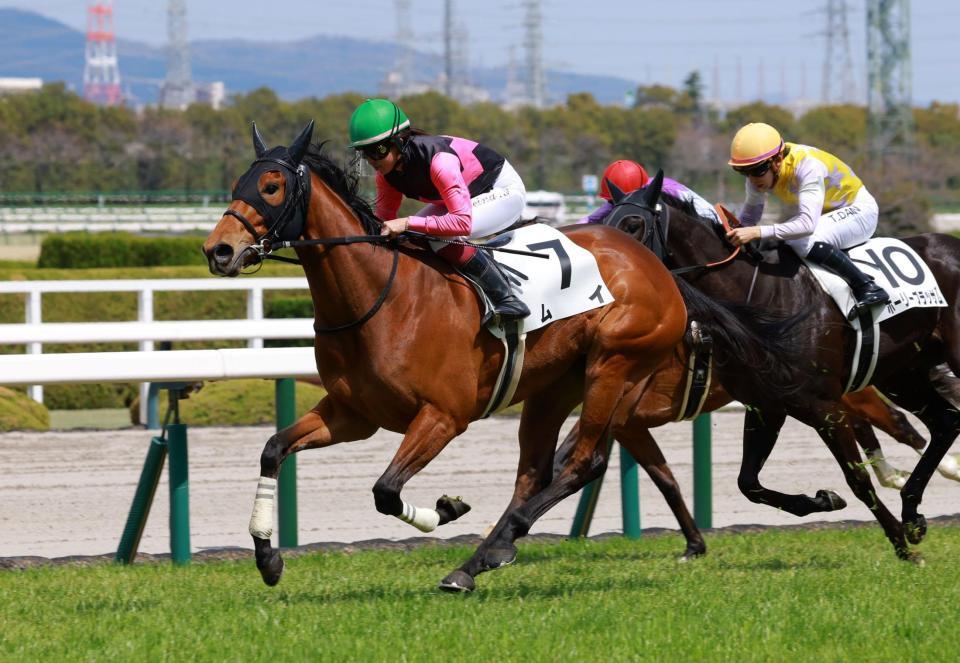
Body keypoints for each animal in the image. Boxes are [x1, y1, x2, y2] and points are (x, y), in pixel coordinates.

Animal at [202, 122, 805, 591]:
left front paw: (447, 509)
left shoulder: (443, 417)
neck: (381, 299)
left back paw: (486, 554)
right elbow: (273, 450)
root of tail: (656, 267)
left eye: (272, 186)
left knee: (583, 461)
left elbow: (385, 491)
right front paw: (268, 558)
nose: (218, 250)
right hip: (554, 386)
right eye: (236, 184)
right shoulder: (354, 415)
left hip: (615, 365)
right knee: (535, 473)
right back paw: (486, 556)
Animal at [603, 179, 960, 562]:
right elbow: (748, 484)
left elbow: (858, 480)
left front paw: (902, 546)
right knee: (944, 421)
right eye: (606, 222)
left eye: (633, 224)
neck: (760, 301)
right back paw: (912, 512)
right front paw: (824, 500)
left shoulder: (824, 406)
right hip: (902, 373)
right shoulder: (766, 406)